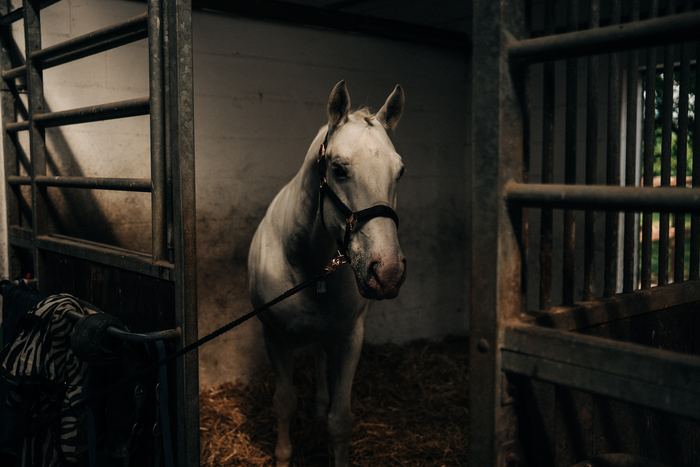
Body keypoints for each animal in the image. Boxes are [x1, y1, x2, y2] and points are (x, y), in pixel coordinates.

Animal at [248, 80, 407, 466]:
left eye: (400, 171)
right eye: (339, 168)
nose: (388, 272)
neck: (308, 265)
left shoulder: (350, 337)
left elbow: (340, 419)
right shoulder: (276, 337)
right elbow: (284, 403)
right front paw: (283, 456)